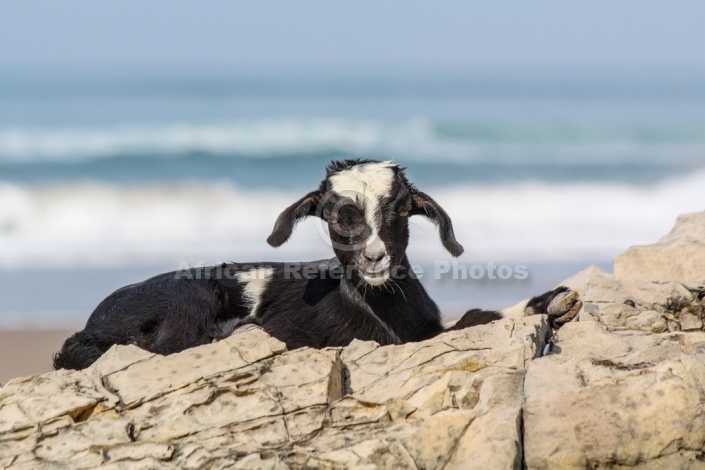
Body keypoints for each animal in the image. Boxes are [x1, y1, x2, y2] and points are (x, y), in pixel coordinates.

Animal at [55, 162, 580, 370]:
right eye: (335, 215)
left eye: (400, 210)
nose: (374, 257)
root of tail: (85, 330)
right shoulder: (380, 339)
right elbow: (471, 318)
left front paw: (558, 299)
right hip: (190, 296)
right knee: (171, 344)